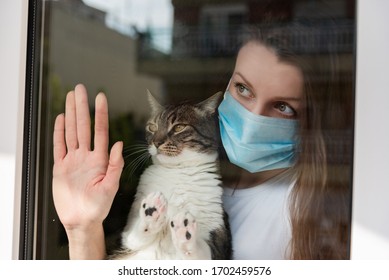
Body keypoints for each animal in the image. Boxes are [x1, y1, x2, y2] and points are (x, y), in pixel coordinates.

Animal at [110, 91, 232, 260]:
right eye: (152, 127)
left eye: (179, 127)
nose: (156, 142)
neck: (177, 171)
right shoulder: (126, 237)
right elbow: (134, 237)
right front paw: (151, 211)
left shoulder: (218, 238)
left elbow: (202, 251)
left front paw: (185, 232)